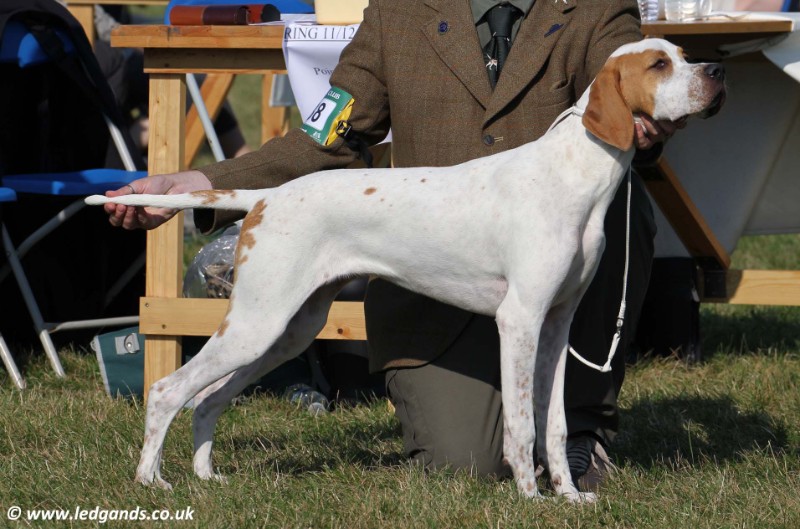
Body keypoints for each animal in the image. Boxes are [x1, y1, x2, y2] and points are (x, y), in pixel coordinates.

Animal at [87, 39, 724, 502]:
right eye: (660, 64)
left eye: (685, 54)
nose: (717, 70)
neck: (574, 177)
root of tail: (267, 197)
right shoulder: (519, 321)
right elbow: (522, 426)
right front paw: (530, 498)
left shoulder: (556, 326)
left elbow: (556, 424)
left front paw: (568, 496)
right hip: (257, 325)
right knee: (169, 391)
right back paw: (151, 482)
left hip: (285, 331)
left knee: (209, 400)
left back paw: (206, 477)